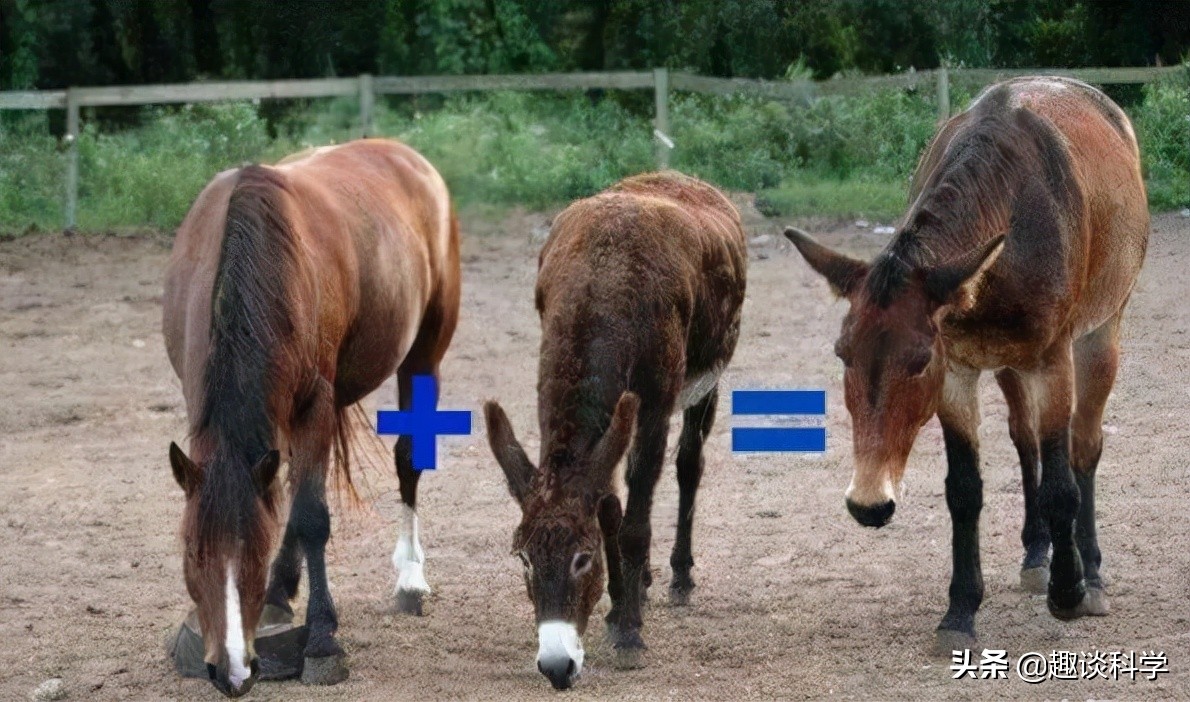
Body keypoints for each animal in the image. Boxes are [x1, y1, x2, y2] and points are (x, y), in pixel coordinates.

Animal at [158, 139, 454, 699]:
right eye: (191, 554)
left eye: (253, 555)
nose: (232, 673)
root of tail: (406, 156)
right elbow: (292, 500)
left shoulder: (314, 402)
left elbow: (312, 516)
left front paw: (321, 640)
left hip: (423, 354)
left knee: (406, 458)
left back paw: (409, 578)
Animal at [483, 173, 742, 690]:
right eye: (523, 558)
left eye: (583, 559)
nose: (557, 667)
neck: (600, 285)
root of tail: (680, 178)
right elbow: (608, 507)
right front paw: (620, 603)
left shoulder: (657, 402)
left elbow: (636, 519)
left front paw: (628, 632)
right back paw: (641, 584)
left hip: (707, 380)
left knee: (689, 465)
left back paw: (678, 578)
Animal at [785, 78, 1147, 656]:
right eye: (842, 354)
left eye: (918, 362)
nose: (868, 504)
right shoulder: (957, 371)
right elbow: (964, 490)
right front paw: (959, 611)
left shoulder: (1051, 361)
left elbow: (1062, 483)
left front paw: (1068, 591)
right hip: (1008, 363)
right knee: (1025, 440)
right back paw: (1036, 553)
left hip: (1100, 335)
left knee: (1084, 447)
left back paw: (1089, 574)